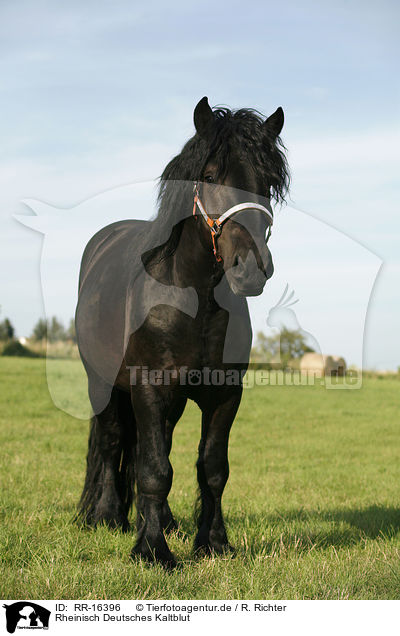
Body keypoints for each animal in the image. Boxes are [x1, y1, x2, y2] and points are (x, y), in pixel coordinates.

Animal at [75, 95, 290, 568]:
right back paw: (107, 517)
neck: (195, 302)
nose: (251, 269)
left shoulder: (225, 394)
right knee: (113, 443)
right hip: (104, 383)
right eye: (208, 176)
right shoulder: (148, 386)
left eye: (267, 183)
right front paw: (153, 551)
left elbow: (211, 468)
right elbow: (154, 469)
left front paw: (213, 542)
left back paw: (163, 522)